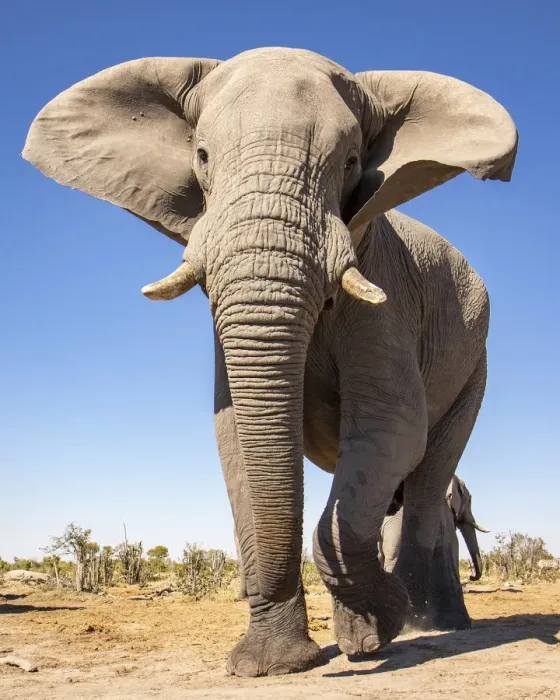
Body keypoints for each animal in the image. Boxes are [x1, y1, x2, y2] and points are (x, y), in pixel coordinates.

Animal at [23, 47, 517, 676]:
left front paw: (375, 631)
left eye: (351, 161)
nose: (379, 626)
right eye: (202, 156)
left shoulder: (386, 289)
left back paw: (426, 625)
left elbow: (391, 429)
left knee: (429, 478)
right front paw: (273, 665)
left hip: (476, 367)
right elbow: (235, 437)